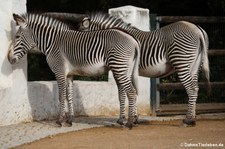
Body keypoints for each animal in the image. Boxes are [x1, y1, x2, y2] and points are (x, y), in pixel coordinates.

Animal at [7, 12, 141, 128]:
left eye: (17, 37)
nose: (8, 58)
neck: (52, 42)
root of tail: (133, 39)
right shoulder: (69, 74)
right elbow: (69, 96)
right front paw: (70, 119)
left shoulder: (59, 71)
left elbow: (61, 96)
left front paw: (60, 120)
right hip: (125, 69)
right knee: (128, 92)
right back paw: (126, 120)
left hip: (119, 67)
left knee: (131, 92)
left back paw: (130, 123)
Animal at [74, 12, 210, 126]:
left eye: (81, 36)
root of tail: (197, 29)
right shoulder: (130, 71)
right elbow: (134, 92)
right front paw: (134, 118)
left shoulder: (120, 70)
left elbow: (122, 93)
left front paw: (123, 119)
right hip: (195, 66)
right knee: (196, 88)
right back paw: (192, 118)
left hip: (181, 62)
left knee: (191, 89)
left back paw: (188, 120)